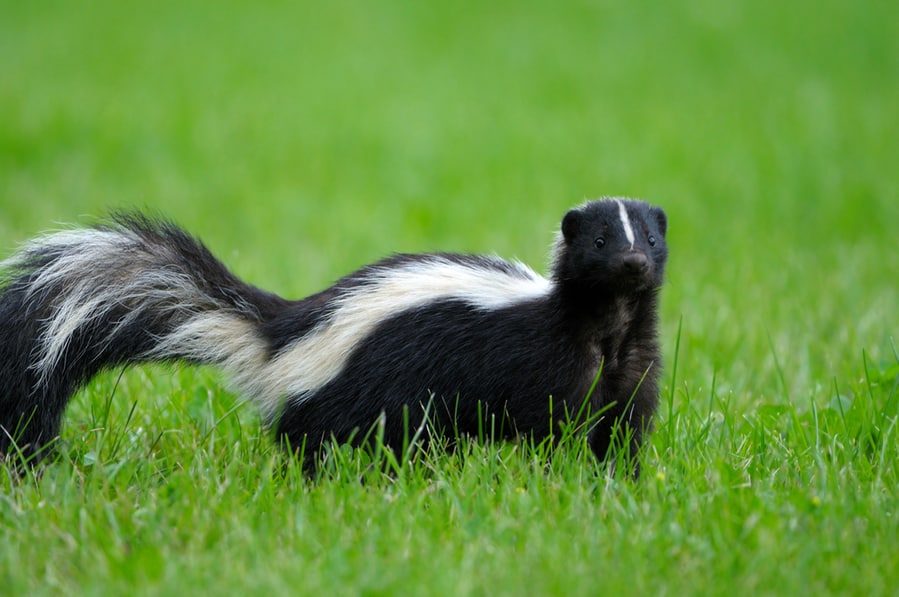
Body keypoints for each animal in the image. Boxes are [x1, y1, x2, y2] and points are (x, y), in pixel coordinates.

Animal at [0, 198, 668, 468]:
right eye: (601, 242)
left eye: (651, 238)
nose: (635, 262)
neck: (608, 325)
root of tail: (280, 334)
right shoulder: (547, 364)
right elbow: (555, 425)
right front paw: (557, 477)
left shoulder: (633, 370)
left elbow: (623, 429)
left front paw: (617, 481)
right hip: (362, 390)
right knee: (329, 441)